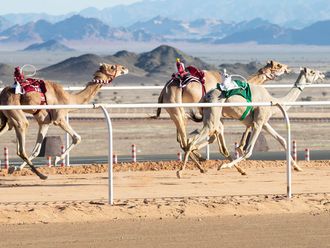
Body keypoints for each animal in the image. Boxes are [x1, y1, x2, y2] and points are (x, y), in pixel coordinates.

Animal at [0, 63, 129, 179]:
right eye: (112, 67)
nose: (125, 68)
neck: (70, 99)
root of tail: (2, 93)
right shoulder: (59, 118)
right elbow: (77, 138)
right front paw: (57, 159)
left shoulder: (44, 122)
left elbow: (36, 150)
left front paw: (15, 168)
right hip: (15, 111)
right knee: (22, 139)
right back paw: (42, 175)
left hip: (8, 118)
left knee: (8, 129)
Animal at [178, 67, 324, 177]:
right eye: (312, 72)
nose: (322, 74)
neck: (273, 101)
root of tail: (206, 96)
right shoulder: (258, 122)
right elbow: (248, 151)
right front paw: (224, 166)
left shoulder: (263, 122)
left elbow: (282, 140)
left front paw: (298, 167)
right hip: (213, 114)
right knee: (193, 141)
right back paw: (181, 171)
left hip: (212, 116)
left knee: (195, 140)